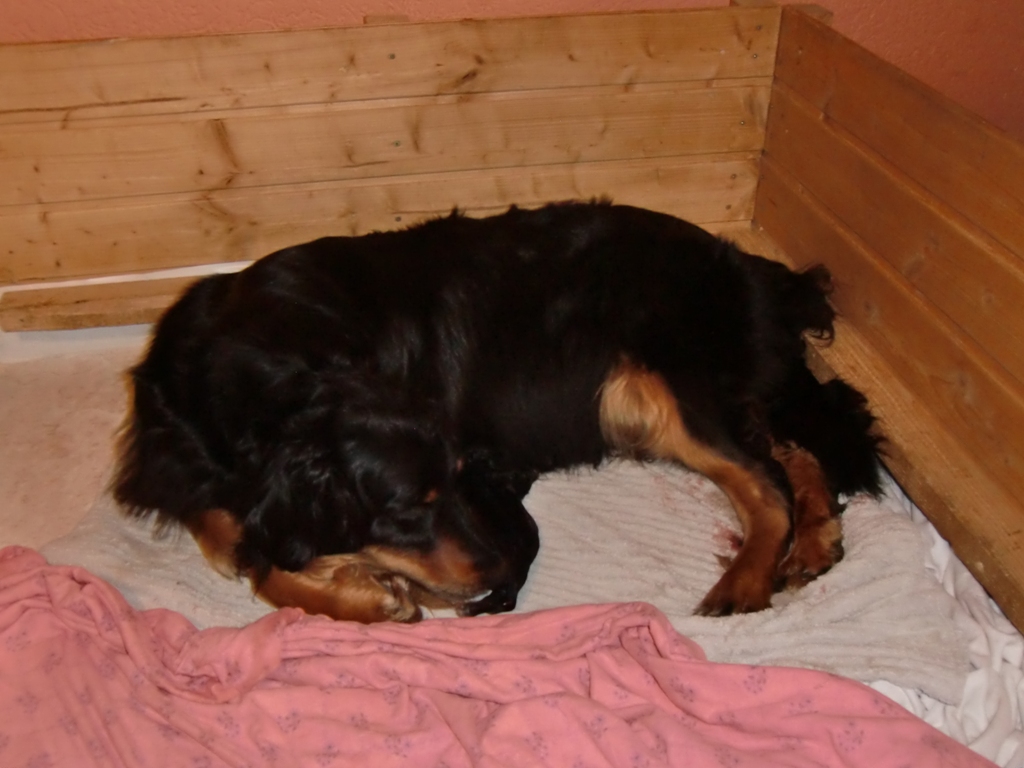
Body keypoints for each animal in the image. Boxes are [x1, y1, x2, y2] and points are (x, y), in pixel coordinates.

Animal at [113, 200, 881, 622]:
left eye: (454, 483)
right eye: (411, 506)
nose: (491, 571)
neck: (263, 358)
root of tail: (755, 268)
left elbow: (260, 557)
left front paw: (368, 596)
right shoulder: (172, 457)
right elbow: (228, 537)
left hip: (664, 389)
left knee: (767, 479)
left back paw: (748, 578)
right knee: (792, 451)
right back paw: (815, 541)